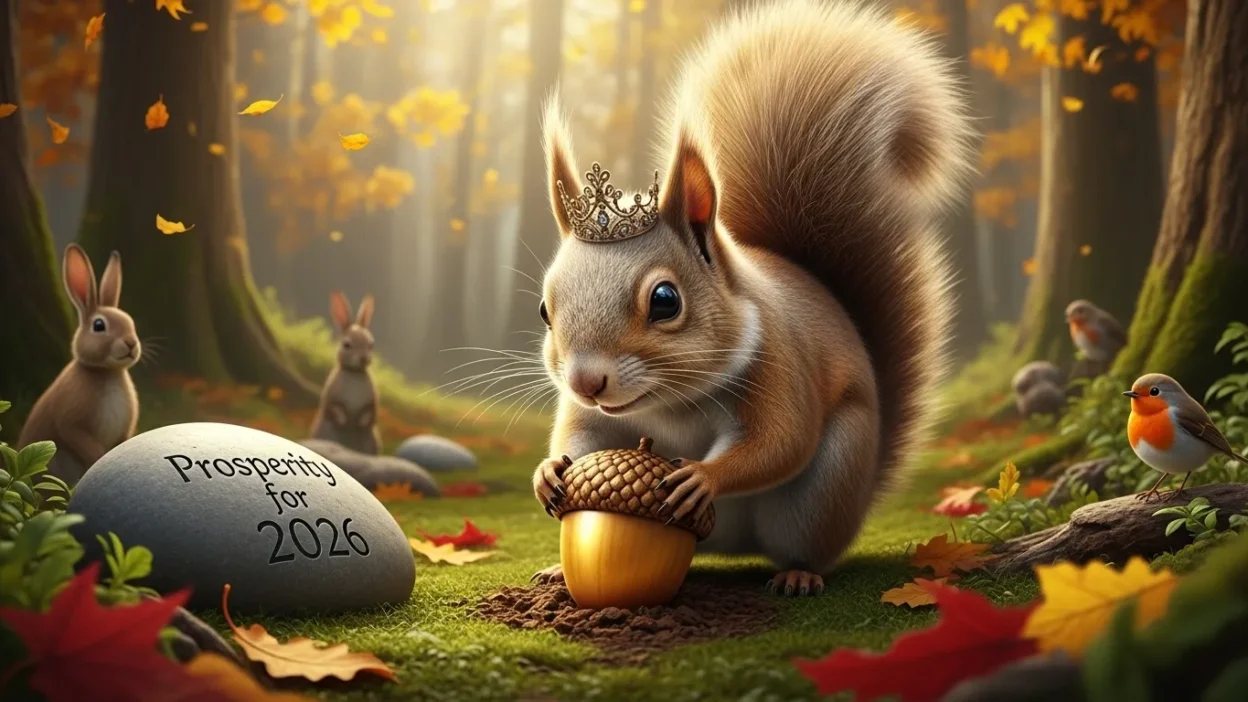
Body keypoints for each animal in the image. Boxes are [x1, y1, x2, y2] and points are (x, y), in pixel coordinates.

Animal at [530, 0, 973, 595]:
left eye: (665, 300)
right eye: (544, 309)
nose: (585, 381)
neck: (670, 404)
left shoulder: (779, 363)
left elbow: (780, 440)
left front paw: (702, 475)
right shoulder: (594, 417)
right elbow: (578, 435)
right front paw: (548, 471)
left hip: (825, 488)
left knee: (805, 541)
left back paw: (798, 575)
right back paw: (560, 569)